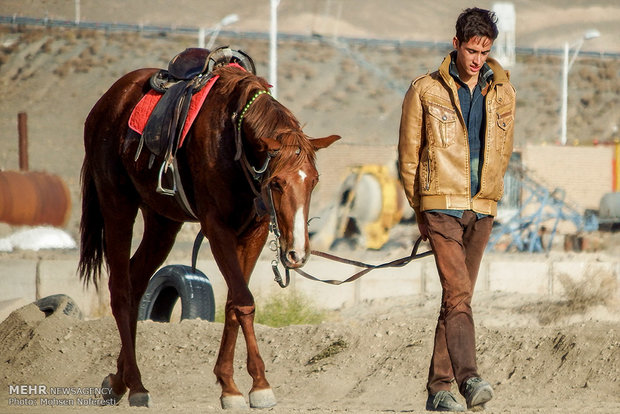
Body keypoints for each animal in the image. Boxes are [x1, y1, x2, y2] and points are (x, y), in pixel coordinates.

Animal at [78, 63, 342, 410]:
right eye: (276, 183)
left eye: (313, 181)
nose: (296, 253)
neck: (235, 143)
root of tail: (106, 103)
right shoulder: (217, 228)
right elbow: (243, 300)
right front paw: (257, 385)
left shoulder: (255, 232)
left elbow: (233, 303)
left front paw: (230, 383)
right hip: (117, 204)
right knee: (121, 289)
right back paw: (136, 385)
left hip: (162, 222)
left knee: (136, 283)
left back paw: (118, 380)